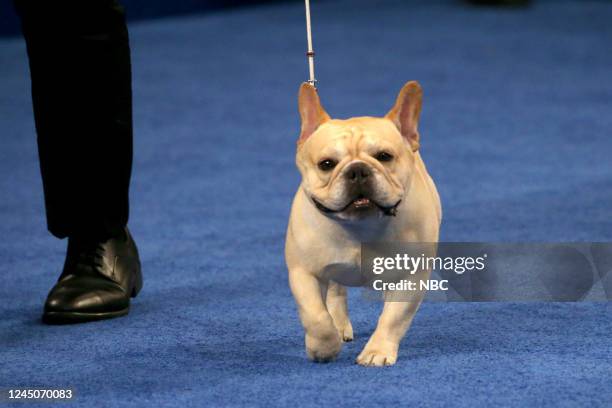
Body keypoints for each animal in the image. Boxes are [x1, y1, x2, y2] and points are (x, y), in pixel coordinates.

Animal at [284, 80, 442, 366]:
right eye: (326, 164)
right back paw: (339, 326)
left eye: (385, 156)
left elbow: (393, 318)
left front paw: (377, 351)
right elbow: (315, 315)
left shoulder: (411, 277)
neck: (359, 227)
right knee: (335, 291)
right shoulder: (303, 272)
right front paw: (323, 347)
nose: (357, 170)